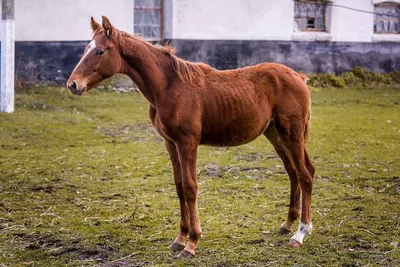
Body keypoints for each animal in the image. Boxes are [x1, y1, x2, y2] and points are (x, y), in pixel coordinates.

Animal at [66, 16, 316, 258]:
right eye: (86, 48)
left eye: (100, 51)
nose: (73, 84)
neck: (169, 87)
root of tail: (298, 77)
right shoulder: (170, 143)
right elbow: (179, 187)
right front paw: (179, 239)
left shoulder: (188, 143)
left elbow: (190, 188)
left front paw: (192, 243)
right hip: (275, 134)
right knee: (294, 172)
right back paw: (287, 224)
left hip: (291, 132)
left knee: (305, 175)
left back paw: (300, 233)